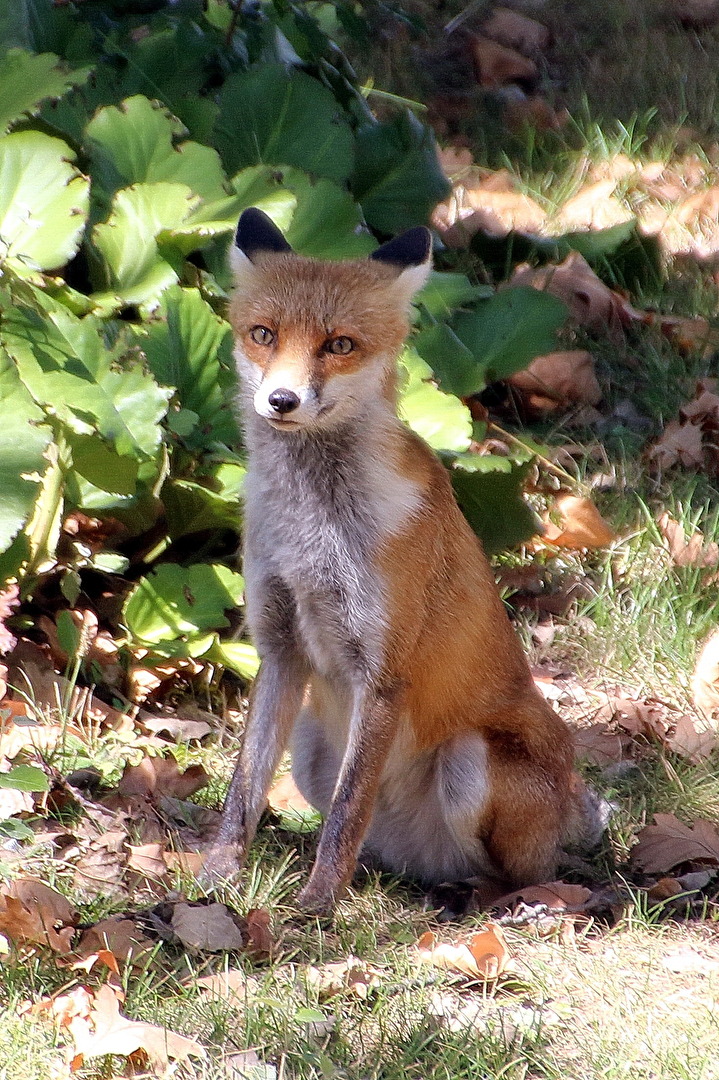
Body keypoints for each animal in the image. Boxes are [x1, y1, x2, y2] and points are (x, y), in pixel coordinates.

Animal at [202, 207, 602, 914]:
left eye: (340, 345)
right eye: (263, 335)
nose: (281, 400)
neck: (312, 529)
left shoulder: (383, 669)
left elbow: (346, 811)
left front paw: (318, 904)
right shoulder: (279, 648)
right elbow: (243, 790)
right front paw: (217, 878)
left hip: (469, 763)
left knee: (509, 870)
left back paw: (478, 899)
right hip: (311, 746)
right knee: (384, 847)